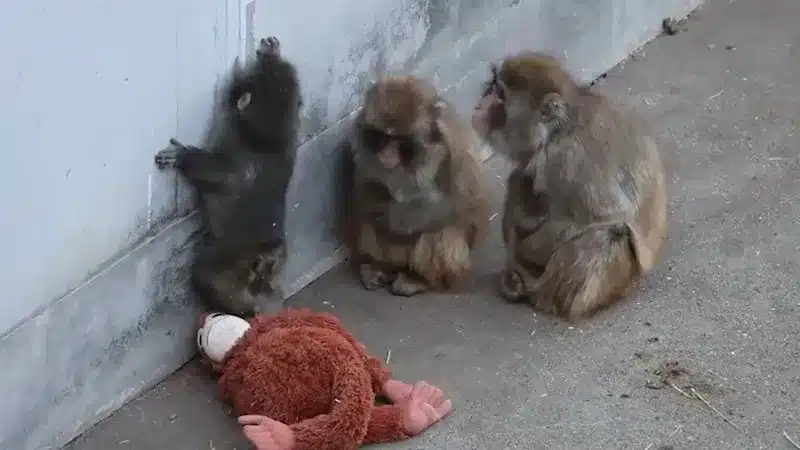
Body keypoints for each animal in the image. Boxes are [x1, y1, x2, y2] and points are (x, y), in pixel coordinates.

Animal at [153, 36, 301, 316]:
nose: (267, 48)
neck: (265, 139)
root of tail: (265, 255)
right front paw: (273, 51)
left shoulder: (238, 150)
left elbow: (219, 175)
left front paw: (181, 156)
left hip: (229, 262)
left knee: (209, 275)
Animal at [348, 75, 491, 297]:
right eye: (382, 137)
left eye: (399, 140)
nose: (386, 153)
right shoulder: (363, 149)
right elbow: (365, 193)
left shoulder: (455, 144)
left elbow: (467, 204)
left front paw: (398, 218)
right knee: (370, 218)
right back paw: (380, 267)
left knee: (440, 230)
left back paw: (418, 279)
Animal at [472, 51, 667, 320]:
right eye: (492, 86)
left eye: (500, 94)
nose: (481, 104)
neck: (558, 131)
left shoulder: (566, 160)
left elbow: (605, 217)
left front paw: (525, 251)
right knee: (520, 179)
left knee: (605, 236)